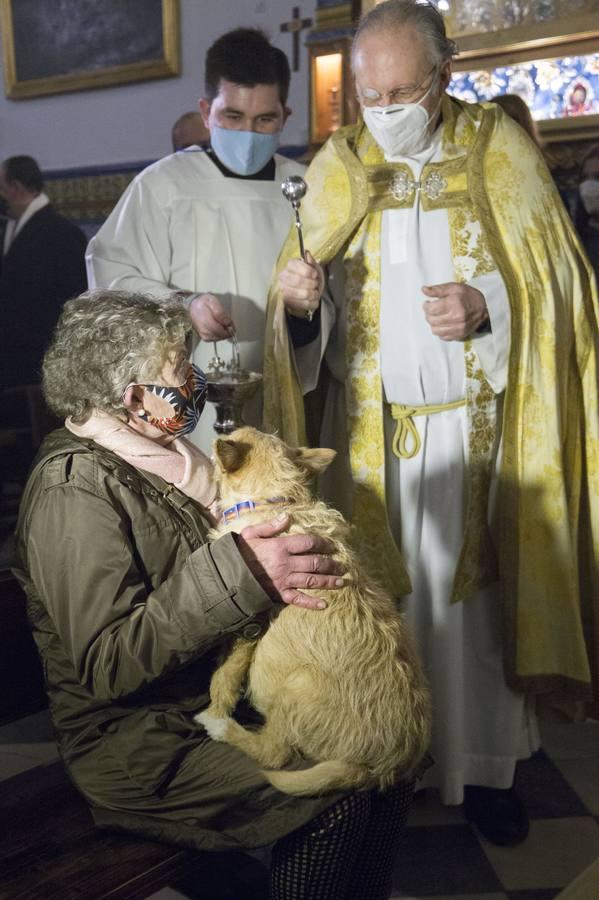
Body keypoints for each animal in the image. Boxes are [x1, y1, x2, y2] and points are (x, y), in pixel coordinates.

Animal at [197, 428, 432, 796]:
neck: (272, 499)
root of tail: (383, 768)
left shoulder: (248, 626)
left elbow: (224, 676)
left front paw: (215, 709)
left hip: (295, 687)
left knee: (275, 754)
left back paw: (222, 728)